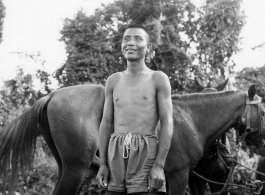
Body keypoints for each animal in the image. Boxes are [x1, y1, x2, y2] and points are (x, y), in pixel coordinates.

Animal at [0, 84, 264, 195]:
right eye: (262, 110)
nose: (261, 143)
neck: (191, 118)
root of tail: (52, 95)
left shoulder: (190, 177)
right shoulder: (179, 175)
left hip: (64, 166)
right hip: (76, 168)